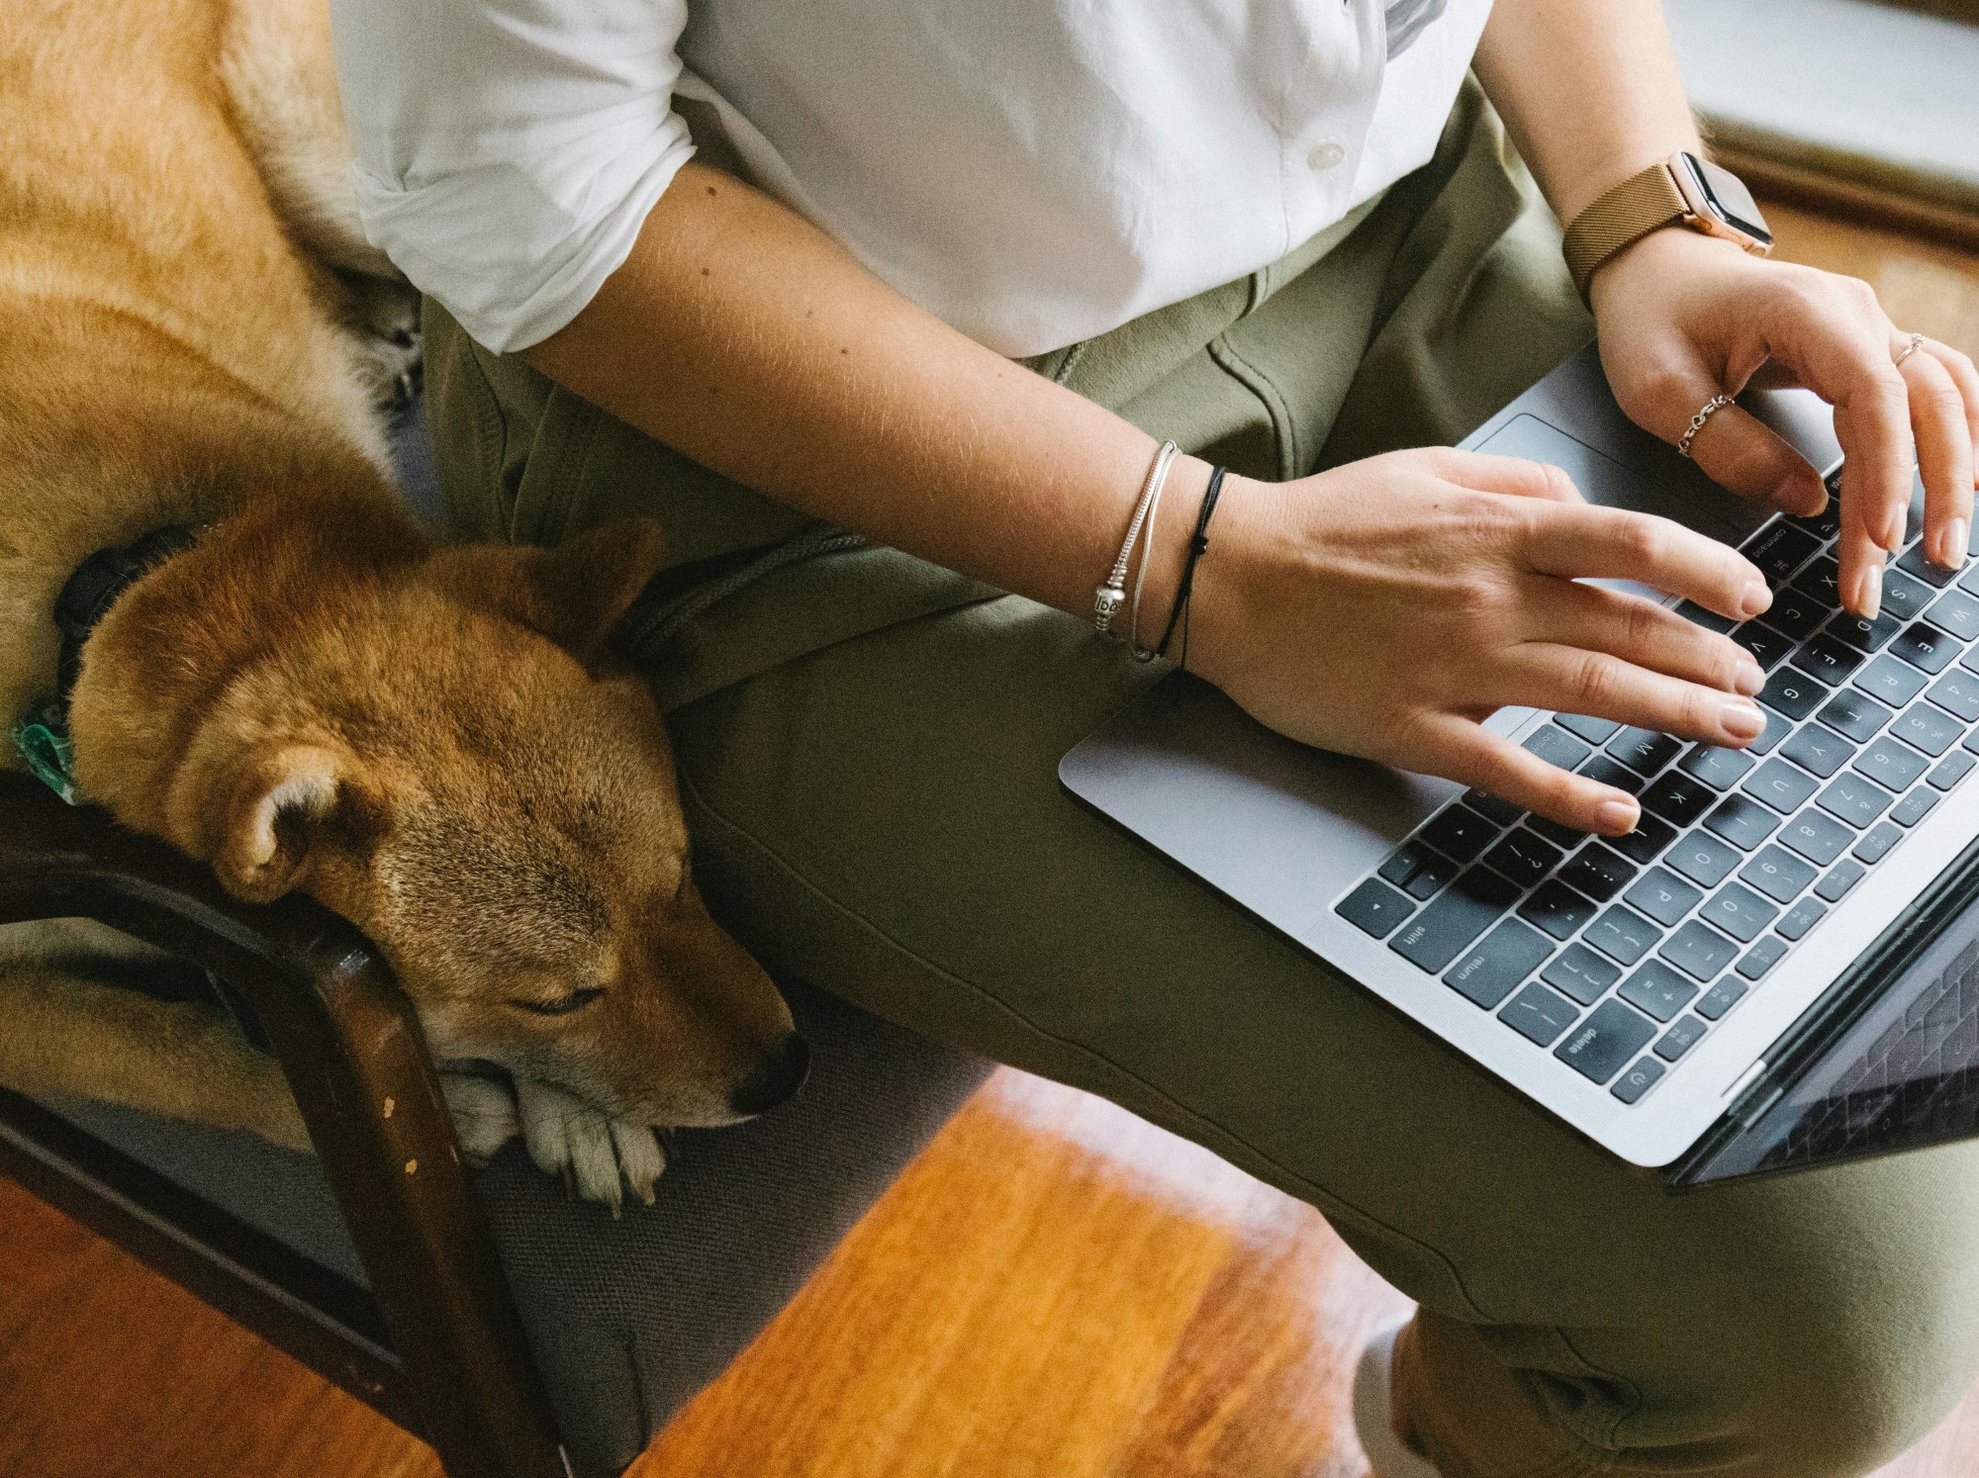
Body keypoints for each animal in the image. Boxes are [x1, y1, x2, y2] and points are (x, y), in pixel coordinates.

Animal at [0, 0, 807, 1210]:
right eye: (557, 996)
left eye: (681, 877)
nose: (785, 1071)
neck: (117, 574)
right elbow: (149, 1049)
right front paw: (456, 1106)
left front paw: (577, 1115)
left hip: (370, 187)